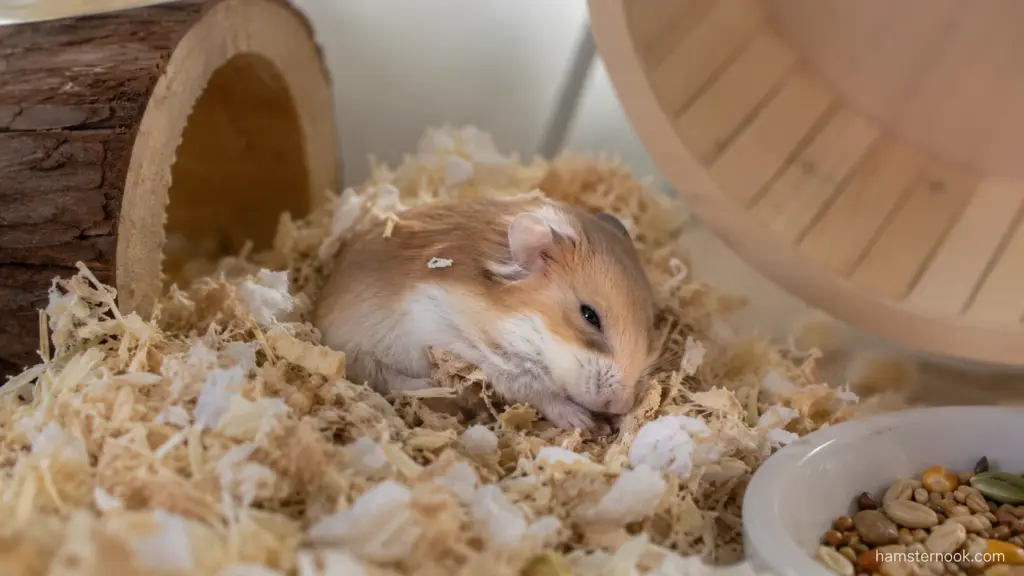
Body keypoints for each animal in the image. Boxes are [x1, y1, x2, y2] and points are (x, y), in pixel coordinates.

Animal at [313, 195, 658, 432]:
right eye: (589, 315)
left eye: (650, 324)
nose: (622, 405)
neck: (518, 323)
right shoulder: (485, 356)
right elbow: (537, 392)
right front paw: (586, 423)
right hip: (364, 349)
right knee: (384, 377)